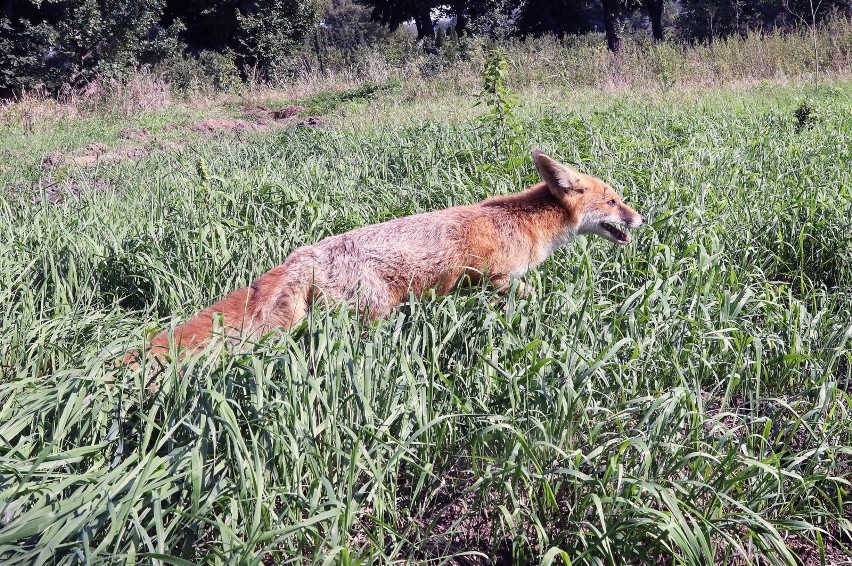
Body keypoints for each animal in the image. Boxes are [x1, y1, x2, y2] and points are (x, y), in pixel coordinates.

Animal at [135, 151, 640, 362]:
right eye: (614, 202)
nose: (642, 218)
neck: (524, 224)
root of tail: (304, 256)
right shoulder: (497, 278)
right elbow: (528, 295)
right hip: (376, 314)